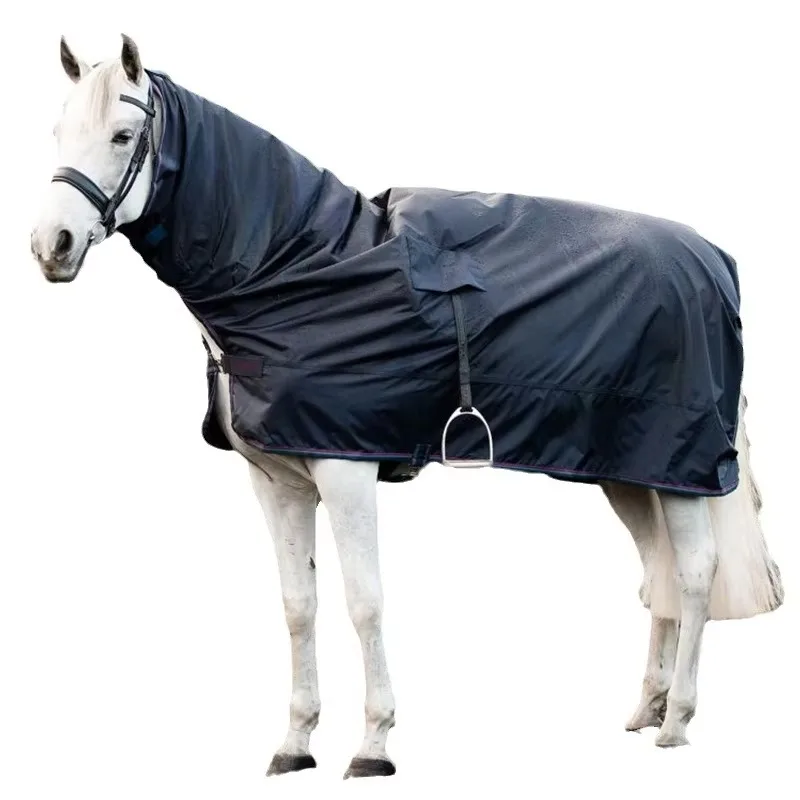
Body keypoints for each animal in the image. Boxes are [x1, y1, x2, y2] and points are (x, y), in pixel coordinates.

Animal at [29, 34, 784, 779]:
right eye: (60, 131)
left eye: (125, 135)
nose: (50, 247)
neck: (298, 263)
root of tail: (713, 260)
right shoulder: (276, 482)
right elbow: (298, 607)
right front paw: (295, 742)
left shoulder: (346, 469)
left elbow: (365, 602)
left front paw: (373, 745)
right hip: (626, 468)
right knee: (658, 570)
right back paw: (647, 708)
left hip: (678, 466)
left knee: (693, 573)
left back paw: (677, 721)